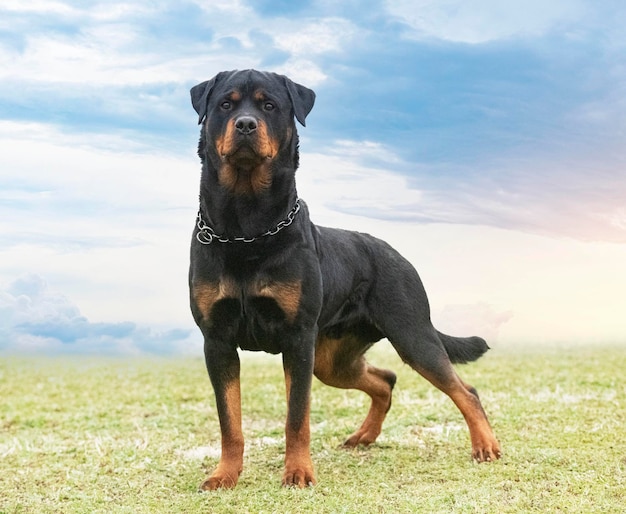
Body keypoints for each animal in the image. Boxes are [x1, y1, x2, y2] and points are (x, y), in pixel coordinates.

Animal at [188, 69, 500, 488]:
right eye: (226, 104)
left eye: (269, 105)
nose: (246, 124)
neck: (246, 229)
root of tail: (398, 256)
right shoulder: (218, 341)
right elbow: (229, 421)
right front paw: (224, 475)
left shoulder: (297, 339)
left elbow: (296, 416)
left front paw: (298, 472)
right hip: (333, 360)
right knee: (385, 380)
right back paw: (364, 436)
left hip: (412, 336)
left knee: (465, 390)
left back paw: (485, 445)